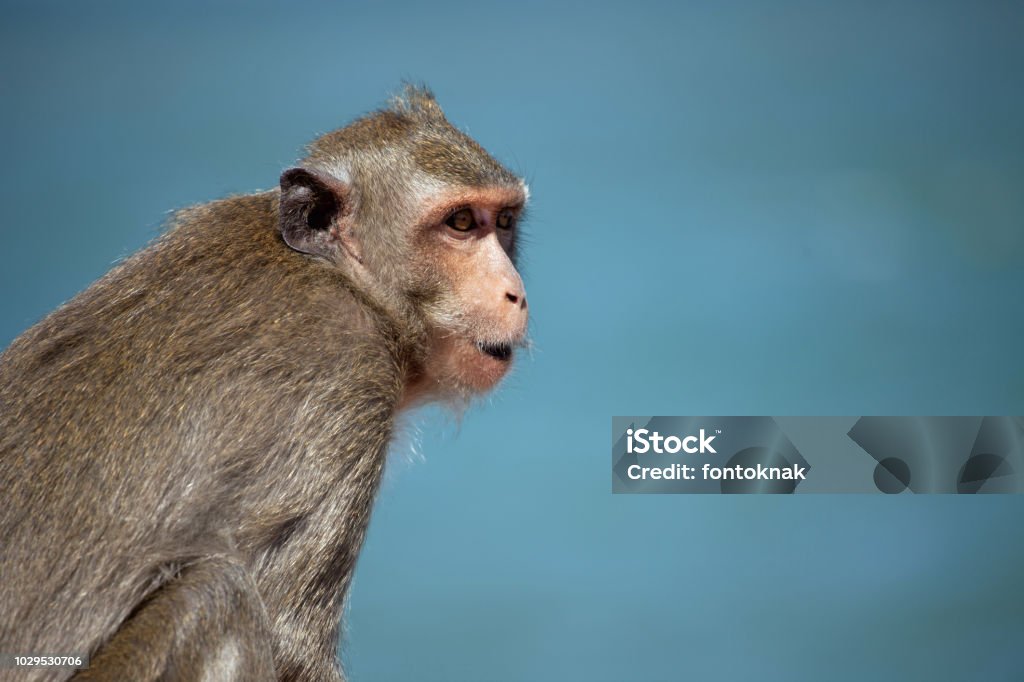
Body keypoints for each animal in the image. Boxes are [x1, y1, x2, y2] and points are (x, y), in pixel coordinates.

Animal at [0, 86, 528, 679]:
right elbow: (290, 641)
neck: (351, 282)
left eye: (504, 220)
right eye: (460, 223)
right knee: (217, 593)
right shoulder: (344, 386)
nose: (516, 292)